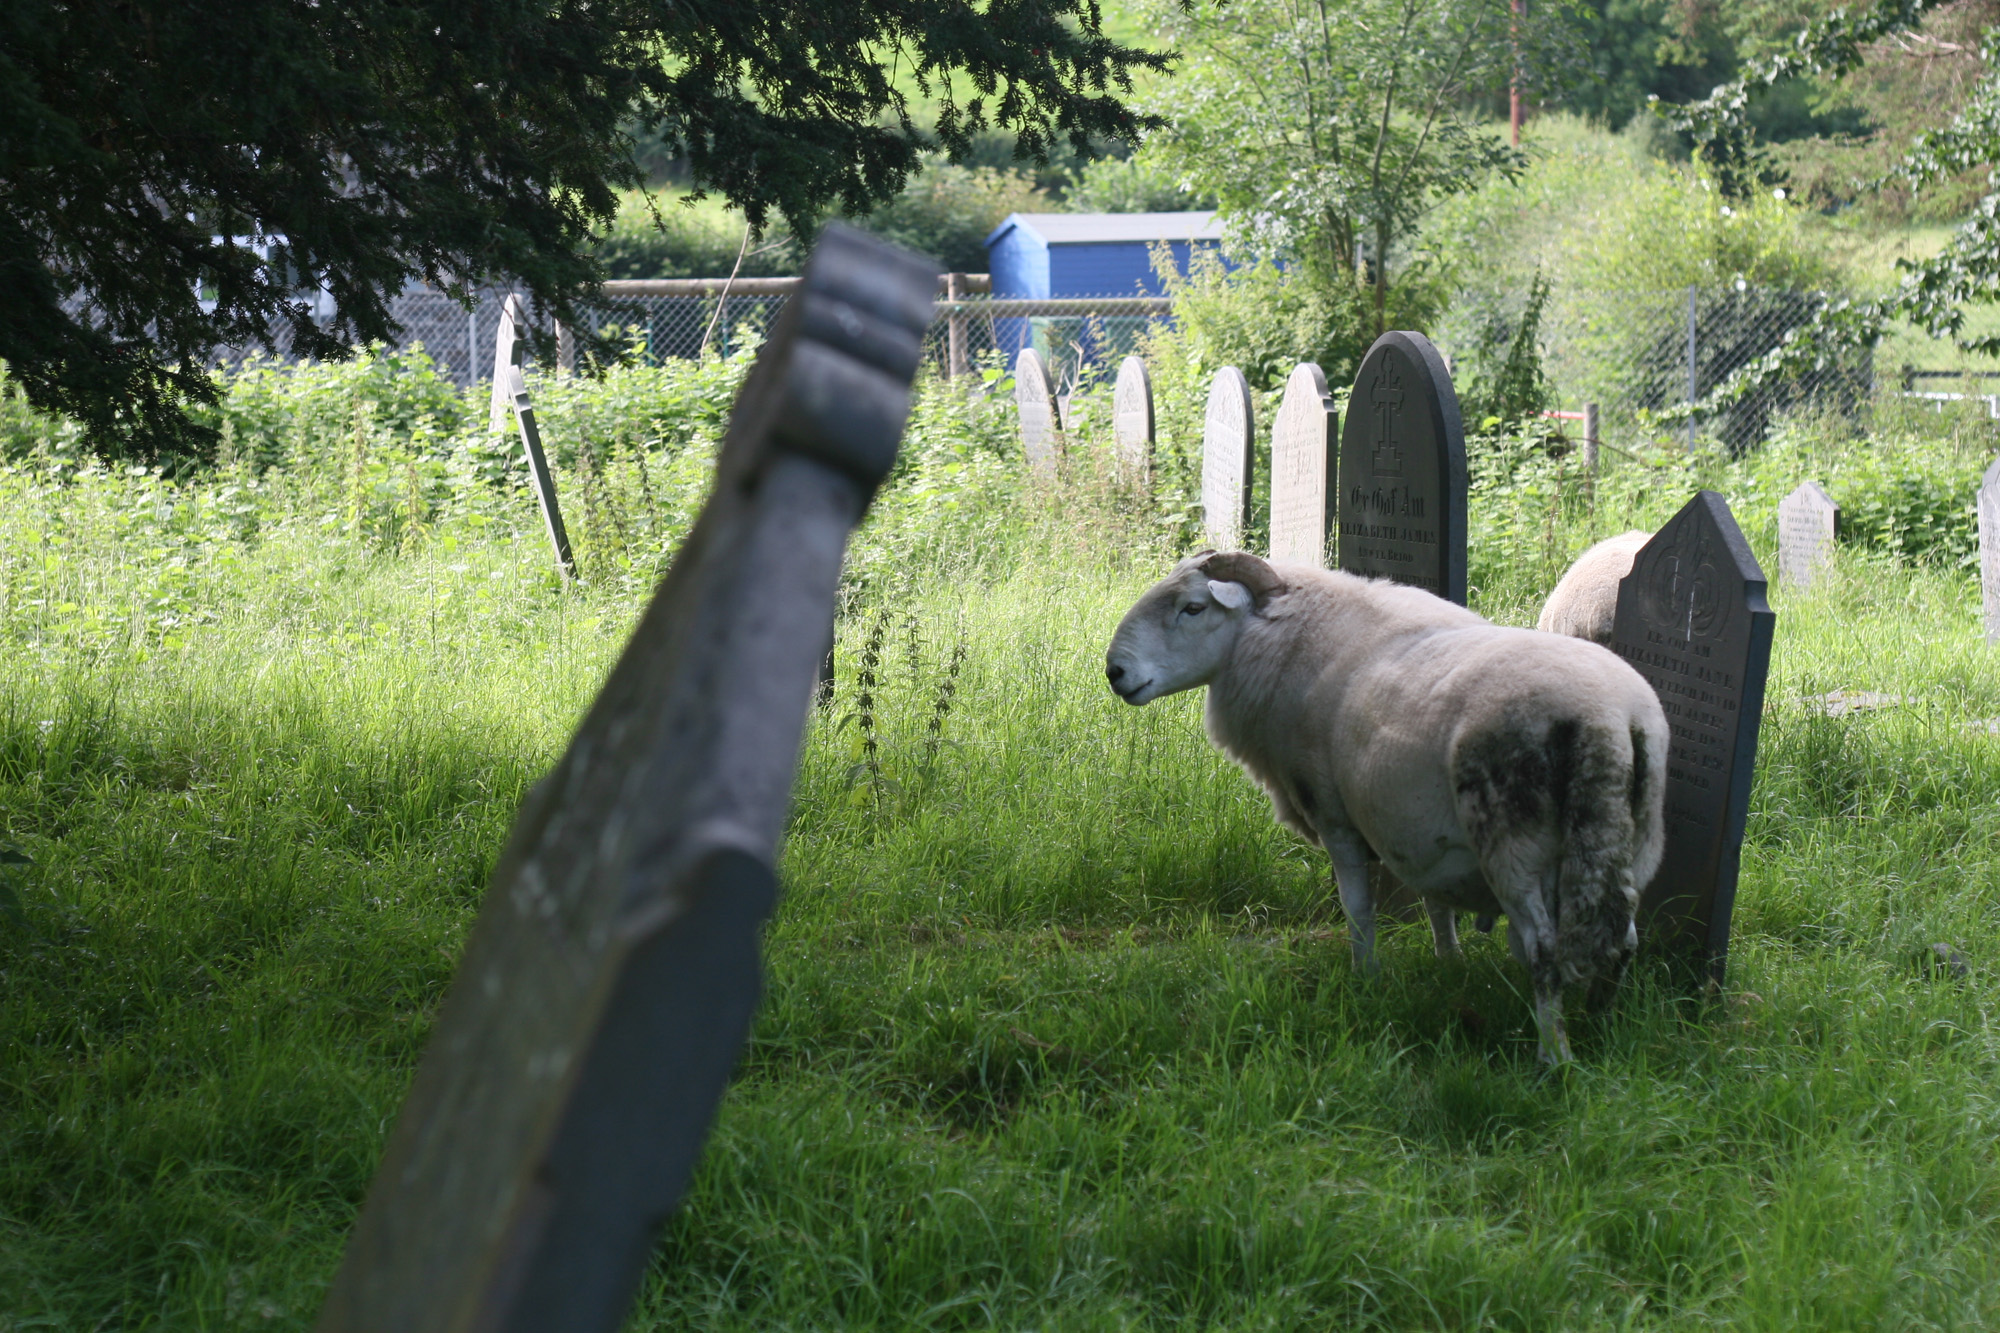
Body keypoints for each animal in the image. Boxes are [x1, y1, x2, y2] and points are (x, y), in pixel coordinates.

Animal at [1112, 548, 1672, 1056]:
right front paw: (1449, 961)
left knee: (1545, 949)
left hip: (1514, 844)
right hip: (1630, 841)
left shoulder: (1334, 815)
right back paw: (1601, 1027)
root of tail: (1605, 721)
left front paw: (1366, 977)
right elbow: (1435, 901)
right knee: (1624, 939)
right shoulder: (1423, 831)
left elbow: (1357, 907)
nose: (1114, 671)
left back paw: (1554, 1056)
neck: (1280, 638)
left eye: (1192, 608)